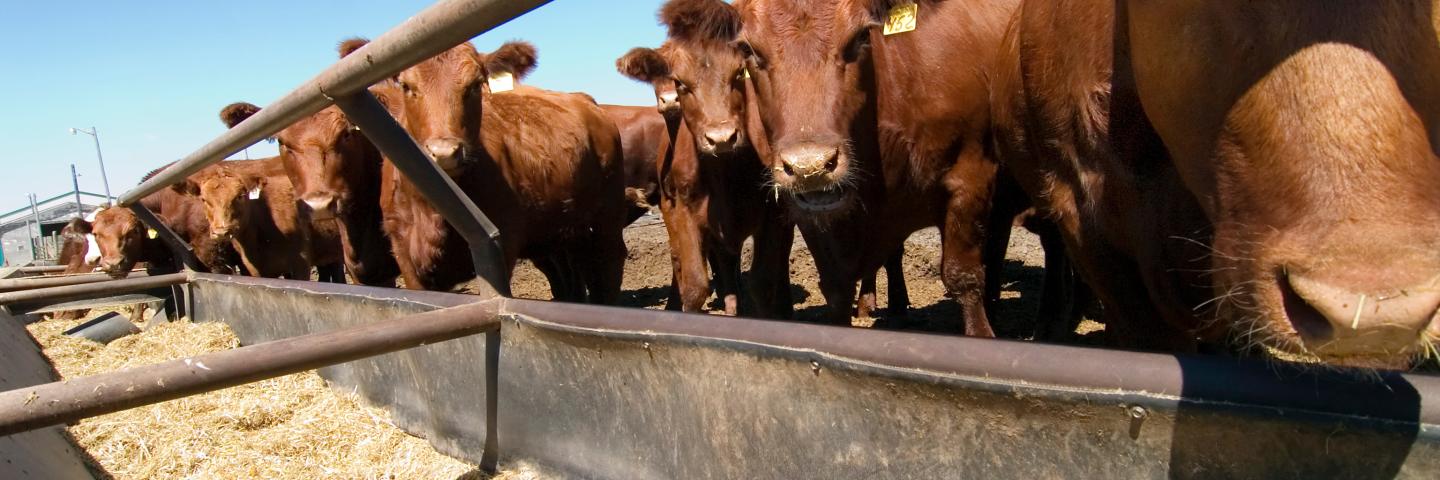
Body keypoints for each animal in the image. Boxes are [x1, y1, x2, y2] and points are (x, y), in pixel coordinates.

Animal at [380, 40, 627, 302]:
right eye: (406, 86)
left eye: (475, 85)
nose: (444, 152)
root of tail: (584, 100)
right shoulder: (405, 254)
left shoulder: (503, 244)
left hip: (608, 212)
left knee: (609, 263)